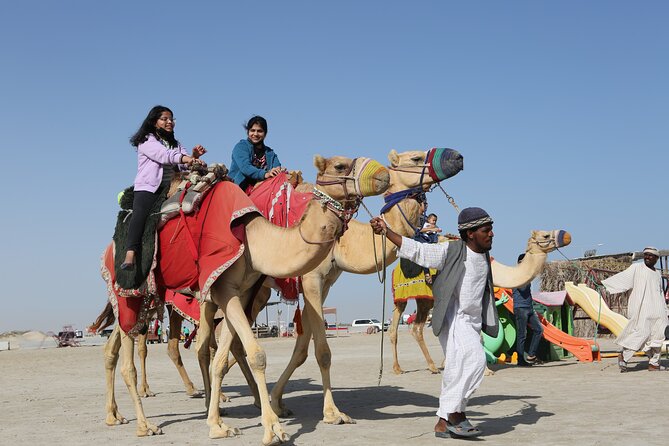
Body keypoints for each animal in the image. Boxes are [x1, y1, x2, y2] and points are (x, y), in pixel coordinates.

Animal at [99, 155, 390, 444]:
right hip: (129, 294)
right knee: (130, 358)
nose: (384, 175)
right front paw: (274, 428)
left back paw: (115, 415)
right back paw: (145, 424)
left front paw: (217, 425)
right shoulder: (227, 287)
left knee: (121, 347)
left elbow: (222, 359)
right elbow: (257, 354)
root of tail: (108, 251)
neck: (254, 238)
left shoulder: (240, 292)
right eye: (340, 166)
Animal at [388, 229, 572, 375]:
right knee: (409, 327)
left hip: (418, 300)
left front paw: (449, 363)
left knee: (403, 329)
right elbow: (479, 336)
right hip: (414, 297)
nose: (567, 235)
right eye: (545, 235)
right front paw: (486, 371)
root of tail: (395, 270)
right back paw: (421, 367)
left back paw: (409, 368)